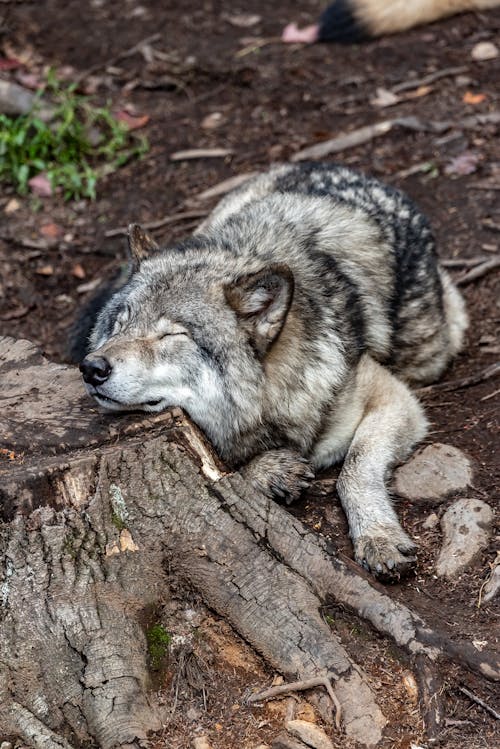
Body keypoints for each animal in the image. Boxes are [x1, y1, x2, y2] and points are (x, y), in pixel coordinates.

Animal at [78, 164, 468, 580]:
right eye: (120, 324)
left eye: (171, 335)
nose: (91, 368)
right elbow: (226, 473)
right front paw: (268, 471)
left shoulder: (394, 399)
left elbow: (354, 468)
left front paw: (378, 536)